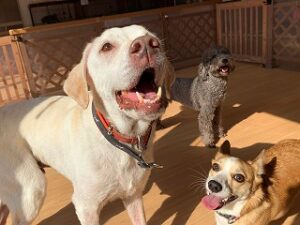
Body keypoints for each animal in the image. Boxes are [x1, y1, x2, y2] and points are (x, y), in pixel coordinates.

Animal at [0, 24, 173, 225]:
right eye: (106, 47)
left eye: (153, 38)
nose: (147, 44)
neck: (122, 140)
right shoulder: (86, 207)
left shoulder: (133, 195)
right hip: (31, 190)